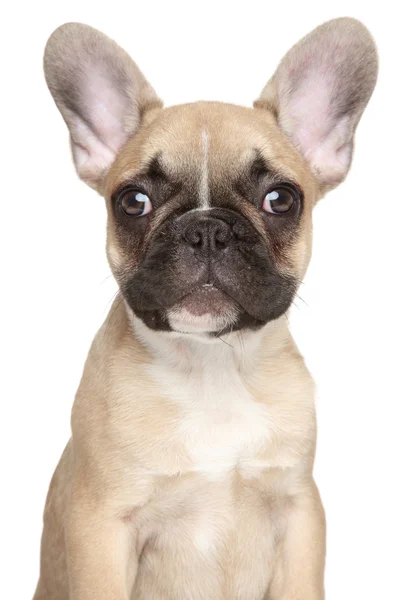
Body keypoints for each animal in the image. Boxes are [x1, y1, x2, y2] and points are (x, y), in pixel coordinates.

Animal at [34, 17, 378, 600]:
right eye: (133, 201)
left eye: (281, 199)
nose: (207, 229)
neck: (212, 366)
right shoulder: (101, 526)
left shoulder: (301, 515)